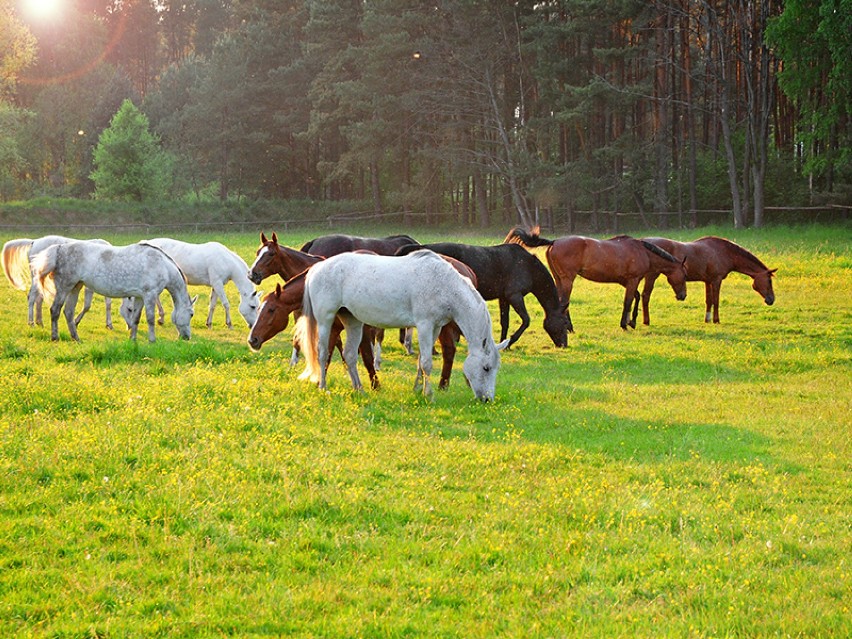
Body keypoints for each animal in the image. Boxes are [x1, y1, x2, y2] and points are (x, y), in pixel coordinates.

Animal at [32, 240, 196, 342]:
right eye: (191, 314)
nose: (187, 337)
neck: (161, 265)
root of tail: (59, 248)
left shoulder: (140, 297)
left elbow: (136, 318)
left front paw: (133, 339)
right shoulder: (150, 295)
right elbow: (150, 318)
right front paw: (152, 340)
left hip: (75, 287)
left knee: (68, 312)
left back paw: (76, 338)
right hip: (64, 287)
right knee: (55, 310)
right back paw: (55, 337)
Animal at [300, 249, 506, 400]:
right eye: (486, 368)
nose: (487, 399)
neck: (442, 283)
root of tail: (318, 267)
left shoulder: (435, 327)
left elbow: (421, 361)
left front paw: (417, 389)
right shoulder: (424, 325)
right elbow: (427, 362)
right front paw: (428, 395)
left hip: (353, 321)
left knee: (349, 355)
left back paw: (359, 389)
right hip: (325, 320)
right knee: (322, 353)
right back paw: (323, 387)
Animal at [396, 241, 568, 350]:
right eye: (565, 323)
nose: (564, 345)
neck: (527, 266)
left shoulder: (504, 298)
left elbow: (505, 322)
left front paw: (503, 342)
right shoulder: (515, 296)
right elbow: (526, 320)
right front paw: (511, 341)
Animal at [502, 228, 688, 332]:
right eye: (685, 275)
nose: (683, 295)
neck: (642, 251)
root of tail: (555, 242)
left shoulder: (626, 281)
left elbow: (634, 297)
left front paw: (632, 321)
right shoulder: (633, 280)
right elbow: (628, 301)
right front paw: (625, 324)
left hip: (559, 279)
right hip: (568, 279)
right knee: (564, 302)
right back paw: (569, 327)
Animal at [644, 236, 776, 324]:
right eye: (769, 281)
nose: (771, 300)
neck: (724, 252)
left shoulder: (707, 281)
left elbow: (709, 301)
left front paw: (707, 319)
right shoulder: (716, 280)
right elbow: (716, 301)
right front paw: (716, 320)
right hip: (651, 276)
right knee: (646, 296)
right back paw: (646, 321)